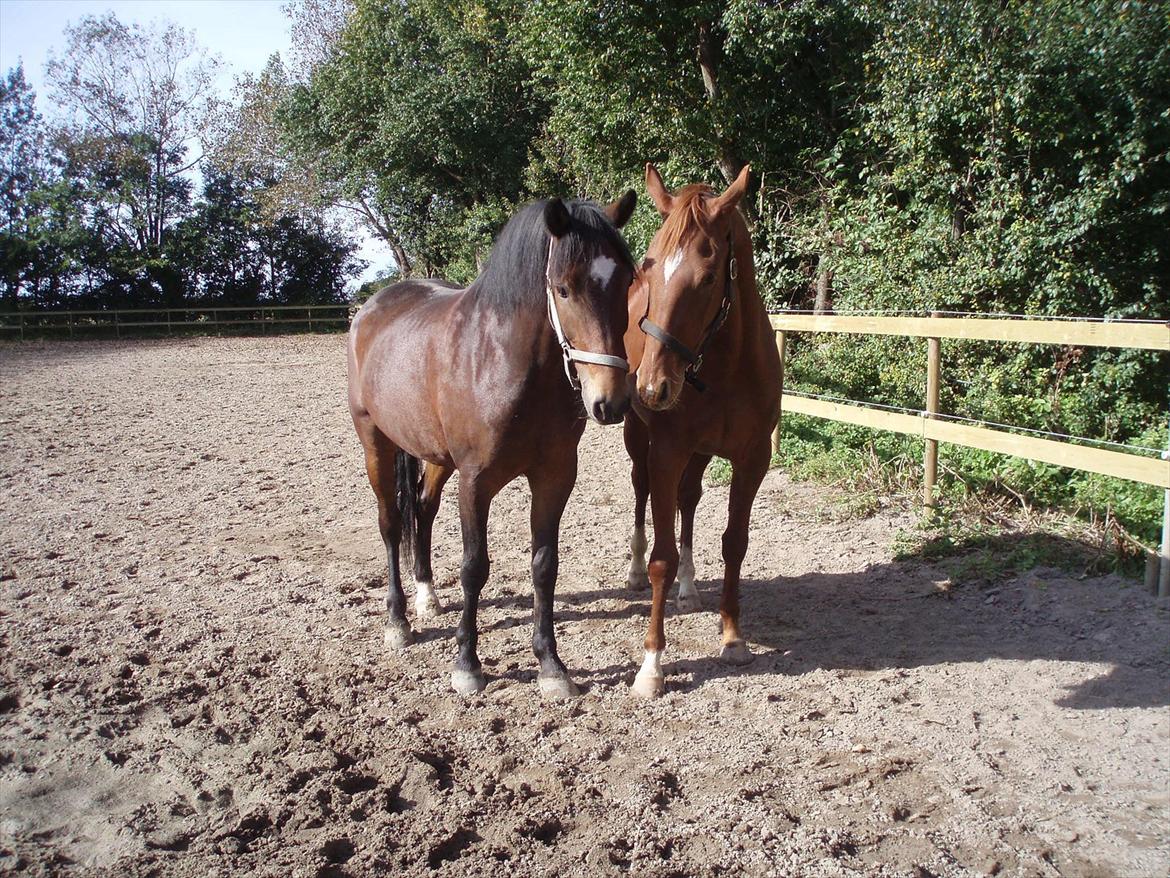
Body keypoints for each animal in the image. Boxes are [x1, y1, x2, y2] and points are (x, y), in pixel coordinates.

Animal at [346, 194, 636, 702]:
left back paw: (427, 597)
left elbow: (544, 566)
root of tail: (371, 308)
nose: (610, 401)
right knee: (390, 523)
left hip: (435, 457)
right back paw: (397, 620)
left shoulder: (555, 477)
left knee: (422, 508)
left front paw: (551, 666)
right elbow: (474, 567)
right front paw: (467, 664)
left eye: (625, 282)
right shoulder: (476, 482)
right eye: (563, 289)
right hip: (375, 443)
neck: (503, 361)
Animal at [627, 166, 781, 702]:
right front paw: (651, 665)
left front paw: (732, 638)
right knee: (641, 493)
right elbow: (661, 557)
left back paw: (690, 588)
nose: (653, 386)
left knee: (688, 500)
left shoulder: (752, 460)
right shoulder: (667, 451)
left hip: (699, 454)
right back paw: (634, 571)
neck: (725, 365)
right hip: (640, 441)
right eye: (649, 266)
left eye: (710, 276)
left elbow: (735, 542)